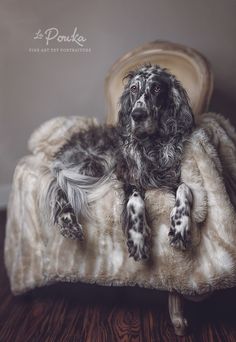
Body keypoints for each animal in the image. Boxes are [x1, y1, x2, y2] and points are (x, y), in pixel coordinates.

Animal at [45, 64, 195, 260]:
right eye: (133, 88)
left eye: (156, 88)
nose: (137, 115)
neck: (152, 144)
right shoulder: (128, 178)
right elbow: (135, 201)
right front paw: (138, 236)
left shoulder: (172, 177)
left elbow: (185, 188)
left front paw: (179, 226)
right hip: (96, 163)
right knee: (59, 187)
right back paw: (68, 222)